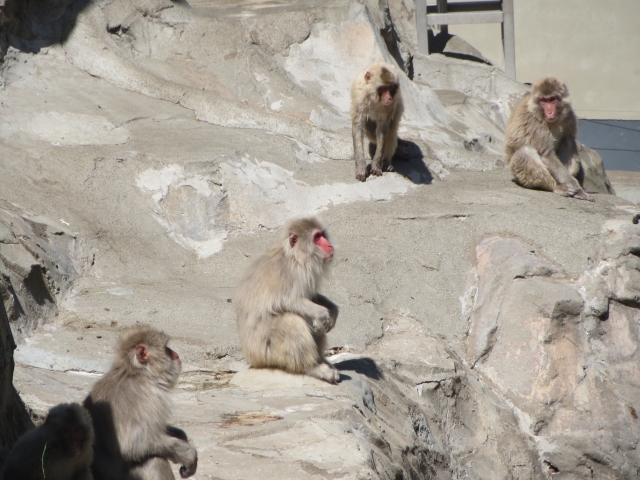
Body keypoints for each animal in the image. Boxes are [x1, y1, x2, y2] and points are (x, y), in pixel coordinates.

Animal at [83, 326, 198, 480]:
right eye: (166, 349)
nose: (176, 355)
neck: (137, 373)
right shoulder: (149, 398)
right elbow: (133, 445)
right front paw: (187, 454)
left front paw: (179, 434)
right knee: (154, 461)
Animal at [234, 216, 340, 384]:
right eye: (317, 237)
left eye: (323, 234)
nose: (329, 245)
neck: (295, 256)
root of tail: (250, 357)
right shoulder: (294, 273)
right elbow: (286, 301)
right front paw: (322, 314)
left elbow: (310, 296)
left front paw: (333, 311)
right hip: (265, 352)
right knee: (291, 320)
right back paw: (312, 367)